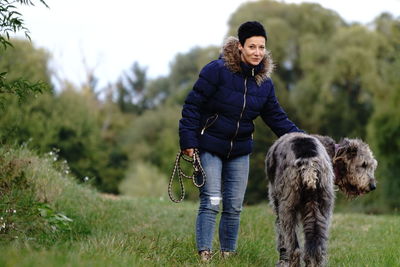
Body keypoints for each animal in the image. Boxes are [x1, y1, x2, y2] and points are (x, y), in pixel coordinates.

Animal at [266, 133, 378, 267]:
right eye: (363, 164)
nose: (373, 186)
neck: (333, 154)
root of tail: (309, 162)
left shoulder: (277, 204)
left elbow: (281, 236)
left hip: (287, 206)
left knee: (294, 248)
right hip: (322, 206)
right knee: (316, 248)